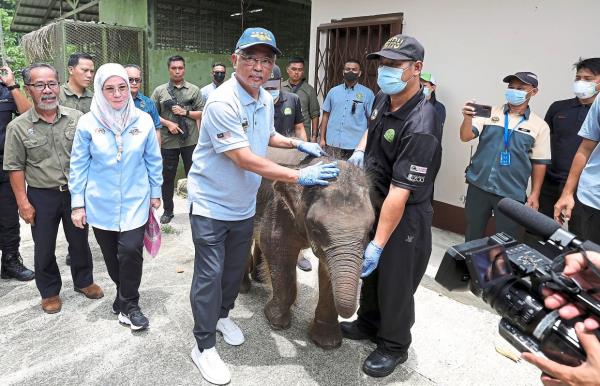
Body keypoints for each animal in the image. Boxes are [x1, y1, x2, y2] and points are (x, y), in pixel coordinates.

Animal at [248, 148, 376, 350]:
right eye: (316, 229)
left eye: (370, 230)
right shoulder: (278, 208)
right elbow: (275, 246)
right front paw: (276, 321)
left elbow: (326, 270)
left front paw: (327, 343)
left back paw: (258, 279)